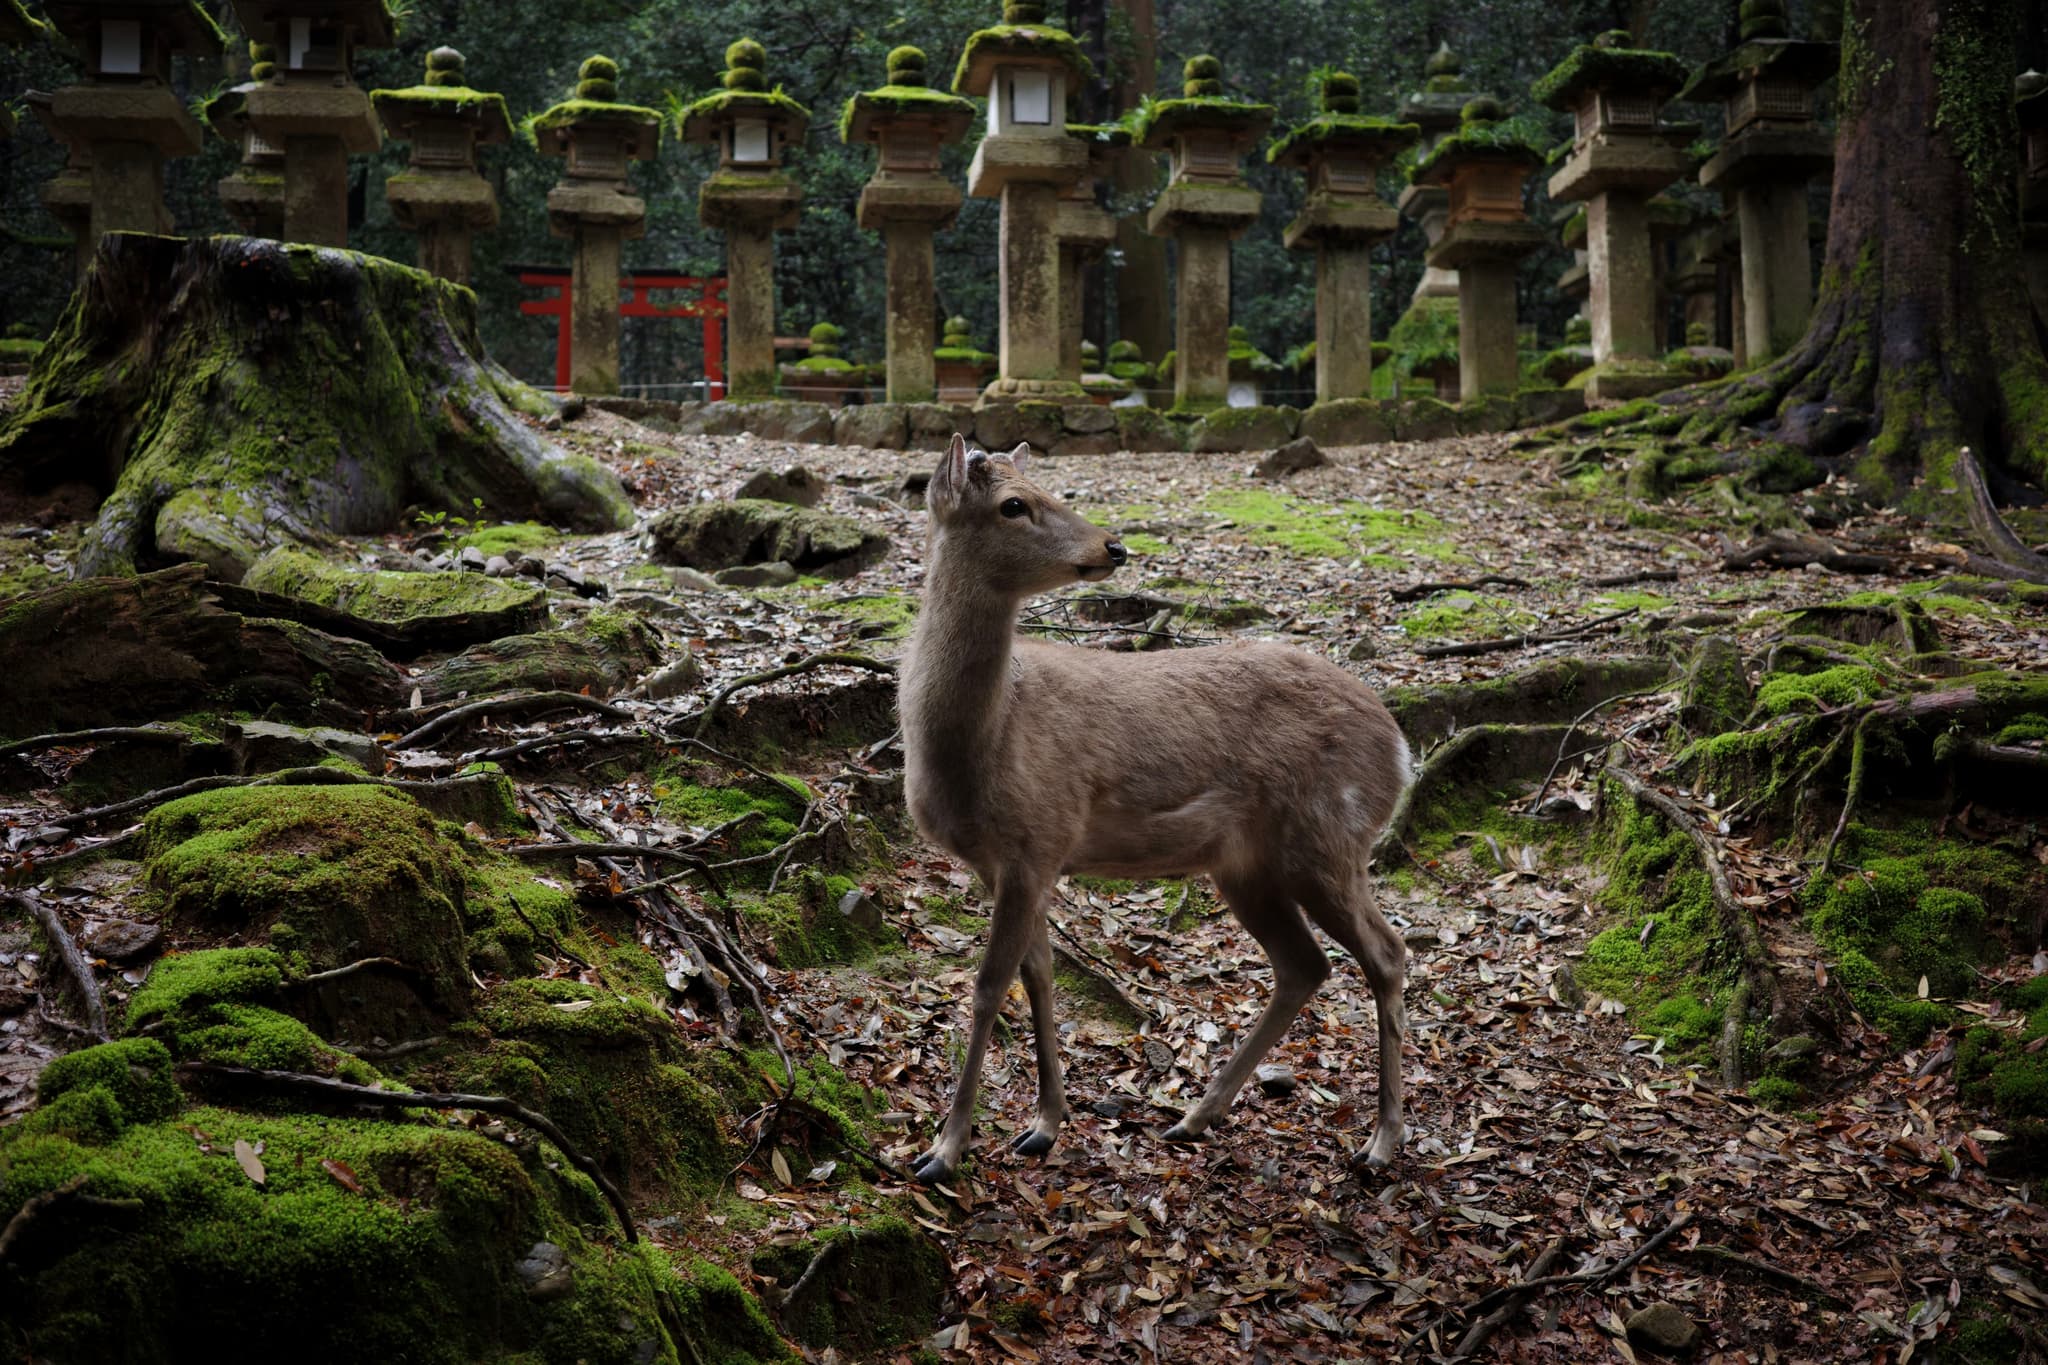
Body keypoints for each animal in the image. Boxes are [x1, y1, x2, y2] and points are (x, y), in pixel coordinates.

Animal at [898, 433, 1414, 1185]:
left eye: (1054, 490)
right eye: (1015, 503)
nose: (1113, 545)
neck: (982, 740)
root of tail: (1402, 748)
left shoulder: (1038, 833)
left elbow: (990, 983)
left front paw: (945, 1148)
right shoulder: (1019, 860)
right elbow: (1039, 975)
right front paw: (1043, 1125)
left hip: (1328, 837)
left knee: (1387, 952)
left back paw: (1381, 1139)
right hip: (1249, 866)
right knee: (1305, 964)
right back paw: (1194, 1116)